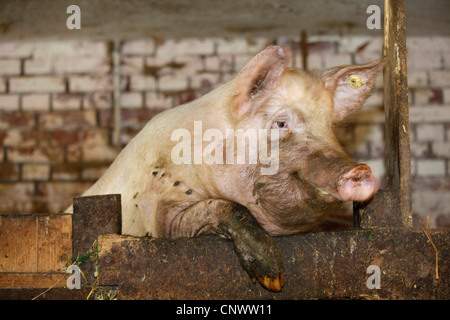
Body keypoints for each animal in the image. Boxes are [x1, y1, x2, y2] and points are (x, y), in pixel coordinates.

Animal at [66, 45, 384, 292]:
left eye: (330, 127)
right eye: (282, 123)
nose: (361, 171)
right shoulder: (158, 215)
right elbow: (224, 207)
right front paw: (273, 278)